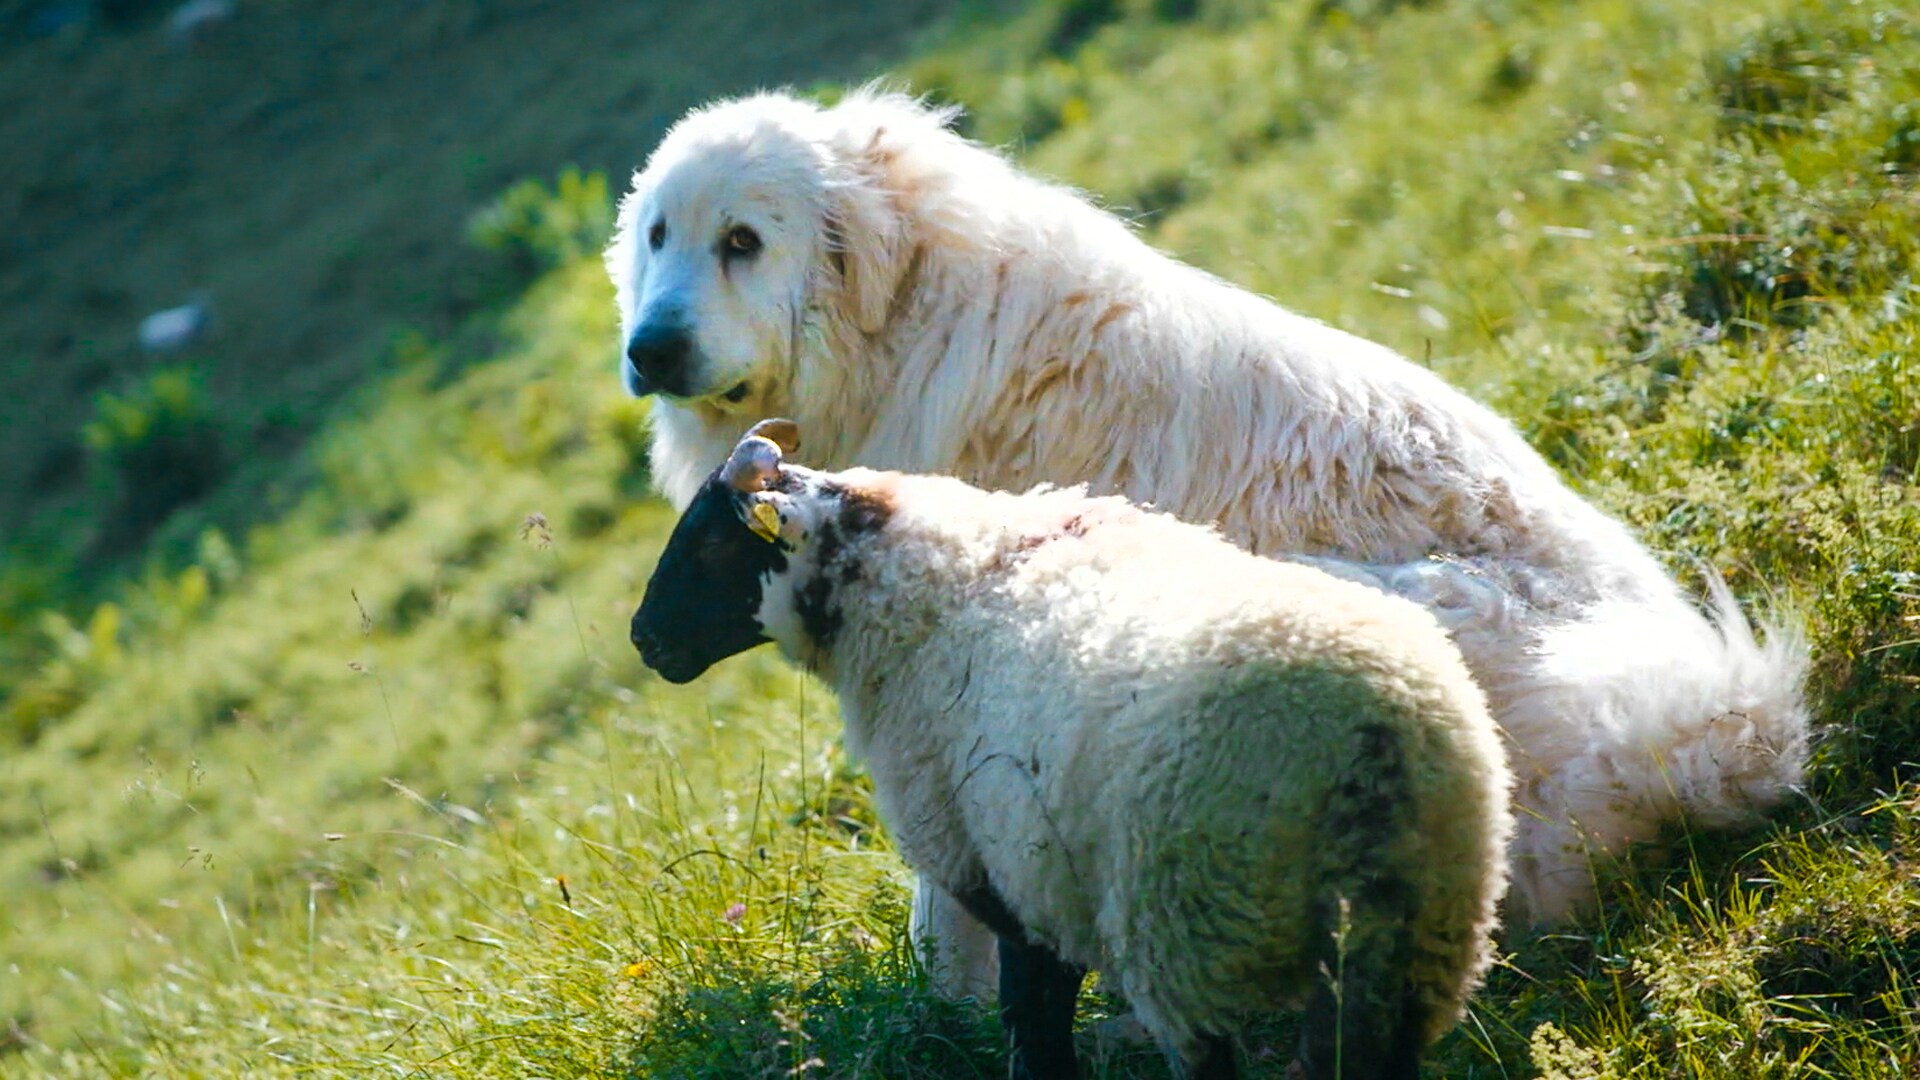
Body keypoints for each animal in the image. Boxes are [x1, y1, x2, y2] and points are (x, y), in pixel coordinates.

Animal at [606, 88, 1804, 999]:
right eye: (658, 237)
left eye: (743, 243)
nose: (647, 348)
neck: (897, 327)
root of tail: (1701, 735)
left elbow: (953, 896)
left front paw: (946, 1007)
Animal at [629, 418, 1512, 1076]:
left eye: (714, 545)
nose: (644, 639)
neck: (932, 582)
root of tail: (1369, 731)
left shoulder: (1007, 877)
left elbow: (1033, 1018)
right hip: (1413, 938)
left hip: (1188, 933)